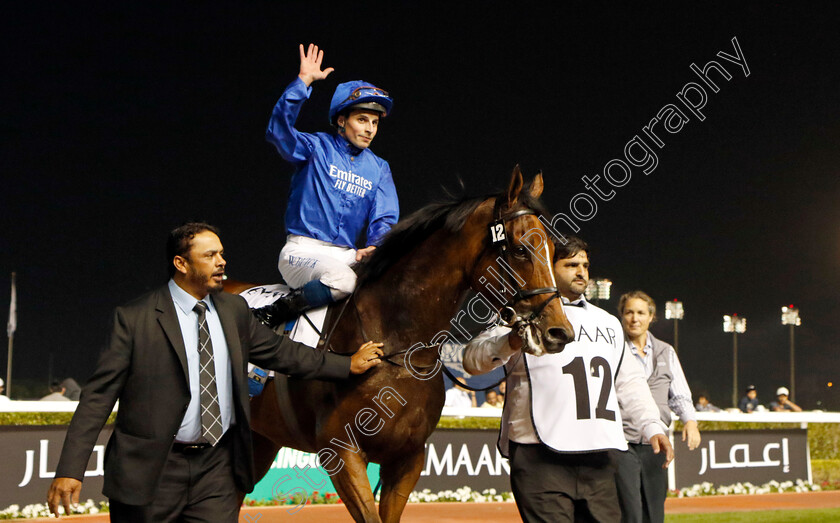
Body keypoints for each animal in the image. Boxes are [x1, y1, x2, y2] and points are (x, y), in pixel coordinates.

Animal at [226, 169, 576, 523]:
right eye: (519, 250)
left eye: (552, 249)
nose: (559, 332)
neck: (397, 343)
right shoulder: (341, 452)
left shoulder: (408, 457)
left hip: (261, 438)